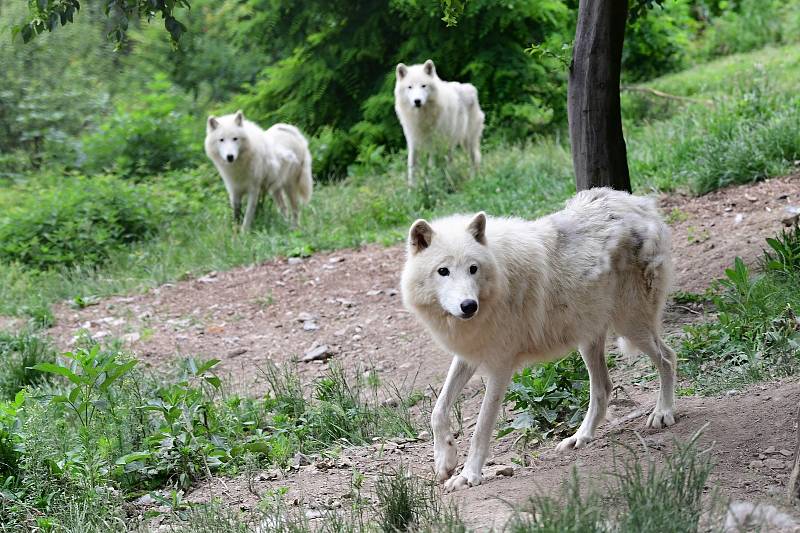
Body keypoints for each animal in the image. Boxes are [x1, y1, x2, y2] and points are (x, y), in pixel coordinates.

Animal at [400, 187, 676, 490]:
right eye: (443, 271)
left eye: (473, 268)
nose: (468, 306)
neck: (497, 282)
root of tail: (637, 202)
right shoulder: (469, 353)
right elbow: (438, 410)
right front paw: (445, 461)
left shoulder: (500, 367)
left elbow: (481, 428)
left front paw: (467, 475)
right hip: (587, 337)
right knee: (603, 387)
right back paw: (579, 437)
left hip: (631, 325)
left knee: (667, 358)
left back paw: (662, 413)